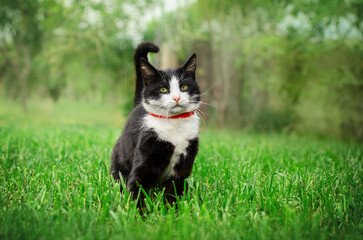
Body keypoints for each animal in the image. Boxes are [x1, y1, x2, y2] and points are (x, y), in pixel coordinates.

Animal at [111, 41, 202, 206]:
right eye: (163, 89)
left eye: (184, 87)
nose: (177, 98)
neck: (175, 124)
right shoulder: (146, 156)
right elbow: (137, 188)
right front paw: (136, 211)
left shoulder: (181, 170)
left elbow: (173, 194)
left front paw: (173, 210)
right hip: (120, 158)